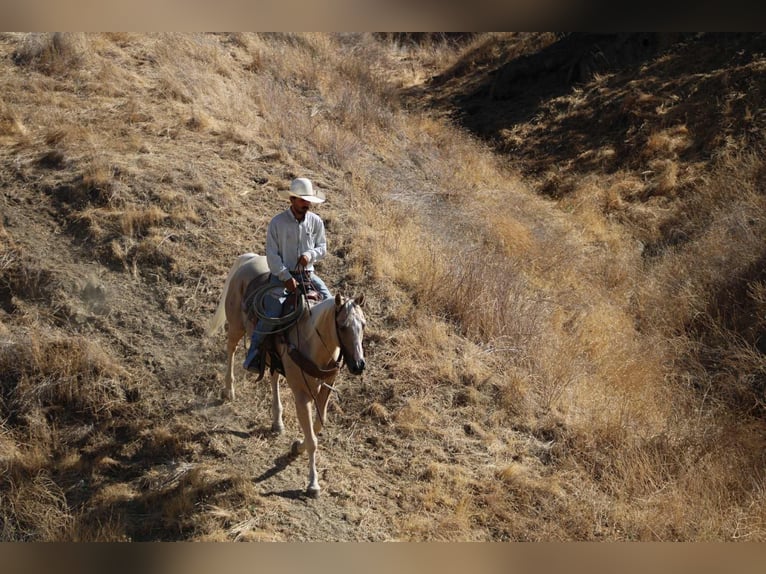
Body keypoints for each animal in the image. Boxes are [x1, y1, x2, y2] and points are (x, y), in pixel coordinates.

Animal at [206, 252, 366, 497]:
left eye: (363, 325)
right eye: (343, 326)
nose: (358, 365)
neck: (312, 339)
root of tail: (250, 258)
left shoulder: (324, 388)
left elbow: (318, 426)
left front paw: (297, 446)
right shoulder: (302, 394)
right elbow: (312, 438)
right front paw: (313, 483)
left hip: (272, 353)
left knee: (273, 377)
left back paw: (277, 421)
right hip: (235, 326)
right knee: (231, 349)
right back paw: (228, 390)